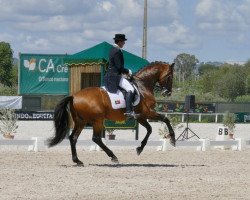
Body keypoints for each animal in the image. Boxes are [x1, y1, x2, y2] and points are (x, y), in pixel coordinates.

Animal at [47, 61, 176, 165]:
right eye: (170, 76)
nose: (168, 93)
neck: (143, 86)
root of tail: (74, 96)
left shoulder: (140, 117)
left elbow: (150, 129)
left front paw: (140, 148)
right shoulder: (147, 113)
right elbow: (164, 119)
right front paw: (172, 139)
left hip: (81, 121)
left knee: (73, 138)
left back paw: (77, 161)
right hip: (97, 120)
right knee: (96, 138)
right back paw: (113, 156)